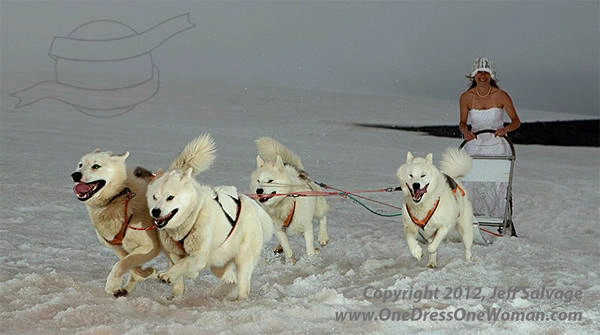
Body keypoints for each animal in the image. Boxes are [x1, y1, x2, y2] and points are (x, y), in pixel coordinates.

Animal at [71, 135, 214, 298]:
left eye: (96, 166)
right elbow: (129, 264)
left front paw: (112, 285)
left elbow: (121, 265)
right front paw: (145, 274)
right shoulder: (117, 248)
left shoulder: (149, 246)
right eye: (80, 165)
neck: (119, 198)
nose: (75, 175)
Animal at [148, 136, 274, 300]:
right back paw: (229, 279)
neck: (190, 219)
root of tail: (251, 204)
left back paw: (240, 298)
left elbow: (184, 264)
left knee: (243, 283)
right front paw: (176, 294)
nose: (155, 211)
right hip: (220, 257)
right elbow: (178, 269)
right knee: (224, 271)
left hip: (243, 258)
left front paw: (168, 275)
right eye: (154, 197)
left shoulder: (199, 256)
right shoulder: (173, 252)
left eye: (170, 197)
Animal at [251, 136, 330, 266]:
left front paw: (310, 261)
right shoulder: (278, 229)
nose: (258, 190)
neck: (286, 202)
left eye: (270, 180)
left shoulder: (307, 226)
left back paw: (323, 236)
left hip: (318, 206)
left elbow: (309, 249)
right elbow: (287, 248)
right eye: (258, 180)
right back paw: (279, 248)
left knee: (322, 217)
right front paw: (290, 262)